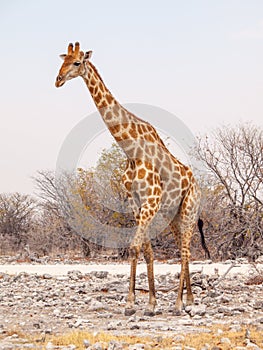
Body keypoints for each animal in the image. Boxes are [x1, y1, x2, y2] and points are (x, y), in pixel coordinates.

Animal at [55, 42, 210, 316]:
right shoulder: (136, 204)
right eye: (62, 61)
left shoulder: (150, 202)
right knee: (184, 249)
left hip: (190, 210)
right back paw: (189, 299)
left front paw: (131, 303)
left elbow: (135, 247)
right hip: (173, 215)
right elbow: (146, 250)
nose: (58, 80)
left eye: (77, 63)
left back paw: (179, 304)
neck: (131, 150)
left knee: (185, 251)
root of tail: (197, 186)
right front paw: (150, 302)